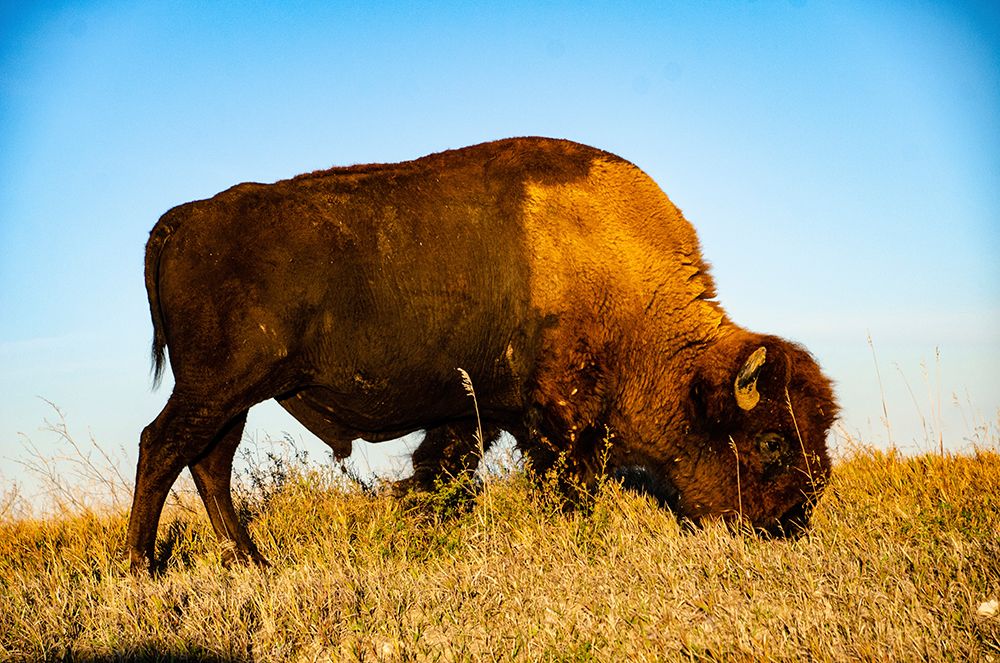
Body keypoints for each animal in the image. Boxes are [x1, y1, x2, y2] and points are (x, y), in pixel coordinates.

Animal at [128, 137, 837, 573]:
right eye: (771, 441)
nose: (791, 522)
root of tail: (183, 219)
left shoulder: (479, 413)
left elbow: (443, 471)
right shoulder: (558, 417)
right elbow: (563, 485)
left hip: (232, 397)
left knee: (208, 462)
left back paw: (253, 562)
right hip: (219, 386)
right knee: (161, 446)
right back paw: (141, 567)